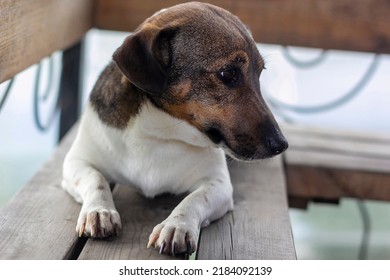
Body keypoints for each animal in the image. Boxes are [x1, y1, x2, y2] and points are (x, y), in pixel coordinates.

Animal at [61, 1, 286, 256]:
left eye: (260, 73)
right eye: (228, 73)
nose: (281, 144)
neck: (159, 132)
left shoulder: (218, 185)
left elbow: (195, 199)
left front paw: (176, 226)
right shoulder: (76, 162)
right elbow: (95, 179)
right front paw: (99, 211)